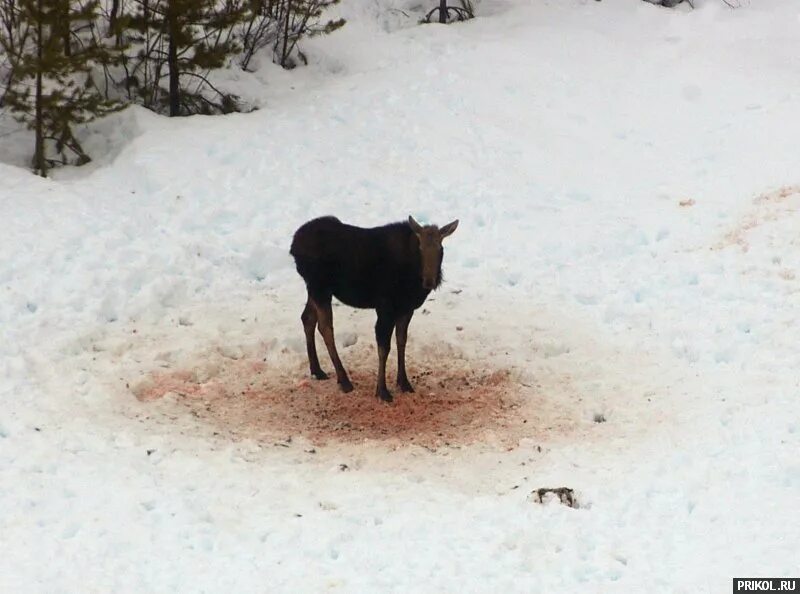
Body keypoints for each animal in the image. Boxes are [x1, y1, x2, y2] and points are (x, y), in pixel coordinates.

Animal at [290, 215, 460, 400]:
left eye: (441, 249)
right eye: (420, 247)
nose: (429, 281)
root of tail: (293, 245)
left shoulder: (406, 308)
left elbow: (401, 341)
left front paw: (404, 382)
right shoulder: (385, 306)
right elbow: (384, 347)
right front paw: (382, 390)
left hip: (315, 289)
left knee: (307, 318)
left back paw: (317, 370)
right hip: (320, 288)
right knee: (325, 327)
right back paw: (344, 380)